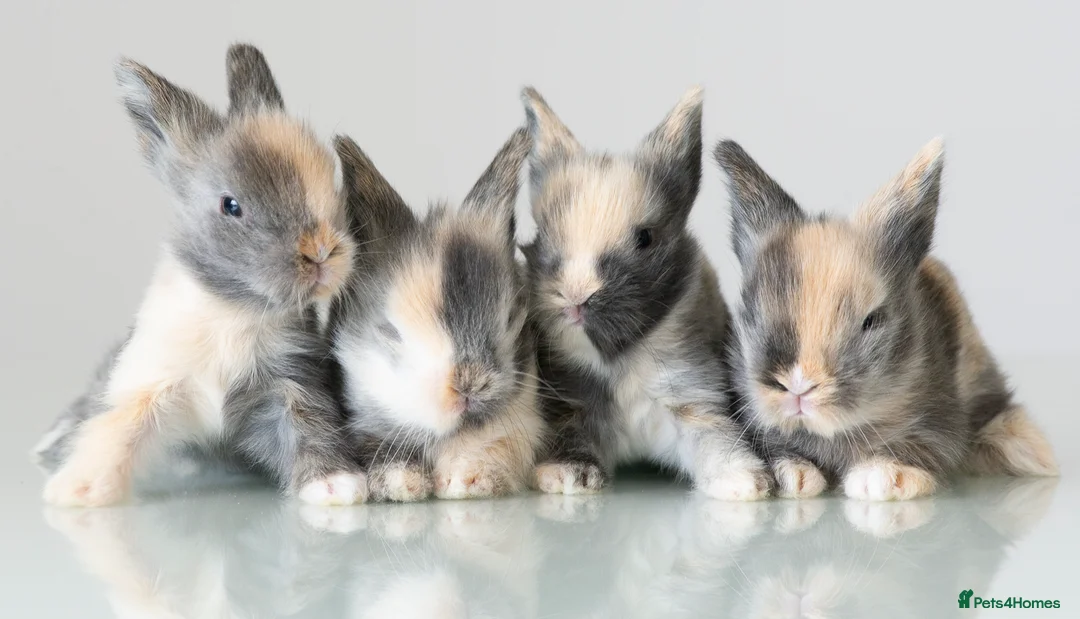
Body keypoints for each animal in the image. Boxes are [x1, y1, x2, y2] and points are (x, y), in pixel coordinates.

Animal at [35, 44, 366, 507]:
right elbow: (117, 428)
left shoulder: (290, 383)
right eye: (231, 205)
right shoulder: (150, 382)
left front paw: (336, 486)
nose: (320, 251)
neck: (233, 312)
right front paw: (77, 489)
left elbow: (308, 423)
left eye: (332, 184)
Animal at [520, 86, 771, 501]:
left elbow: (716, 440)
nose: (575, 298)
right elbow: (571, 439)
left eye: (645, 238)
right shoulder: (569, 407)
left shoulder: (692, 400)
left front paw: (745, 483)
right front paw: (567, 476)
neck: (619, 360)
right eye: (542, 235)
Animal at [713, 137, 1059, 501]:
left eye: (872, 320)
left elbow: (920, 447)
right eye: (751, 314)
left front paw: (879, 478)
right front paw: (794, 476)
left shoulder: (938, 423)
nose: (798, 387)